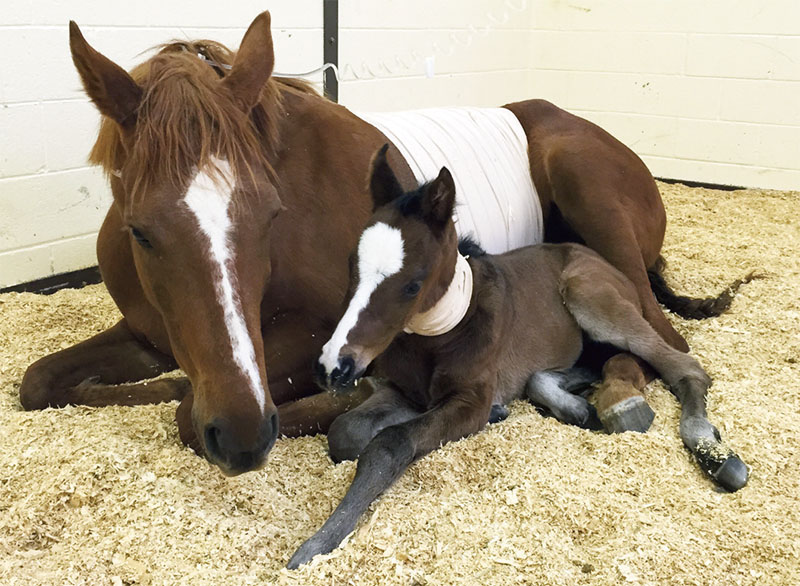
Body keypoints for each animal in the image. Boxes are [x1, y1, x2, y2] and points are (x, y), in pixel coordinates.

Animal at [19, 12, 743, 476]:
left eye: (270, 215)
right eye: (142, 230)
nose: (245, 436)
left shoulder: (320, 338)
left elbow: (187, 410)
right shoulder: (152, 333)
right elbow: (38, 383)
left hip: (587, 191)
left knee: (659, 333)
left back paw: (624, 395)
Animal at [290, 147, 749, 567]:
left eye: (412, 284)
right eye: (351, 266)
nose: (333, 366)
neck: (439, 338)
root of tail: (609, 264)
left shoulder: (468, 401)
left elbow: (388, 444)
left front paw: (317, 544)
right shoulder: (404, 392)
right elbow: (345, 432)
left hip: (589, 296)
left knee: (683, 365)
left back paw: (712, 452)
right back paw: (580, 408)